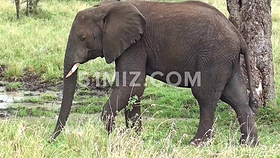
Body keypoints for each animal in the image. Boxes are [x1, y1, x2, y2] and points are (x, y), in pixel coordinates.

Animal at [49, 0, 258, 146]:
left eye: (83, 38)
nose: (50, 140)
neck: (107, 7)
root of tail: (239, 37)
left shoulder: (135, 45)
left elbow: (131, 86)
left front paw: (114, 135)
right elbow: (133, 91)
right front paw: (135, 138)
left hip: (214, 56)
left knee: (205, 96)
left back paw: (196, 144)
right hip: (226, 60)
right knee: (236, 98)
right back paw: (248, 145)